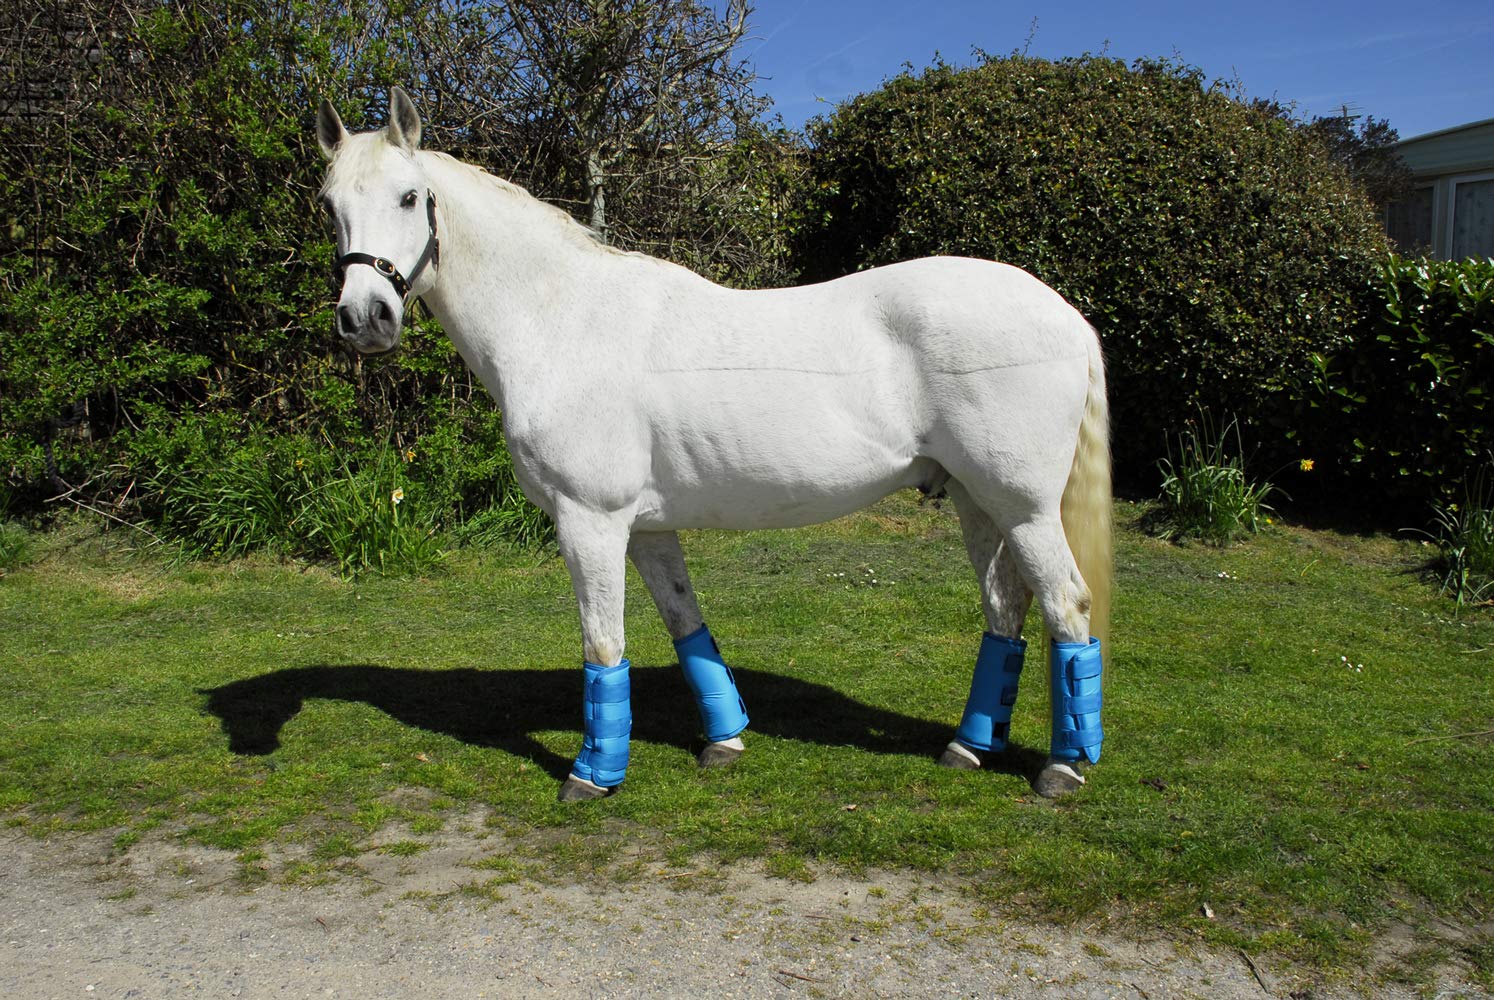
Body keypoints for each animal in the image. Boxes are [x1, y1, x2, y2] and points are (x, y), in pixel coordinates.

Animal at [315, 88, 1112, 802]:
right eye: (330, 205)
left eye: (410, 197)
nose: (365, 319)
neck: (561, 321)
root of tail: (1064, 314)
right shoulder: (645, 527)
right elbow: (684, 623)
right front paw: (724, 741)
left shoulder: (589, 522)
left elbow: (603, 644)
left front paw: (591, 776)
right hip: (977, 501)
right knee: (1005, 609)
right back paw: (968, 748)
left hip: (1023, 506)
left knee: (1067, 603)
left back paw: (1063, 769)